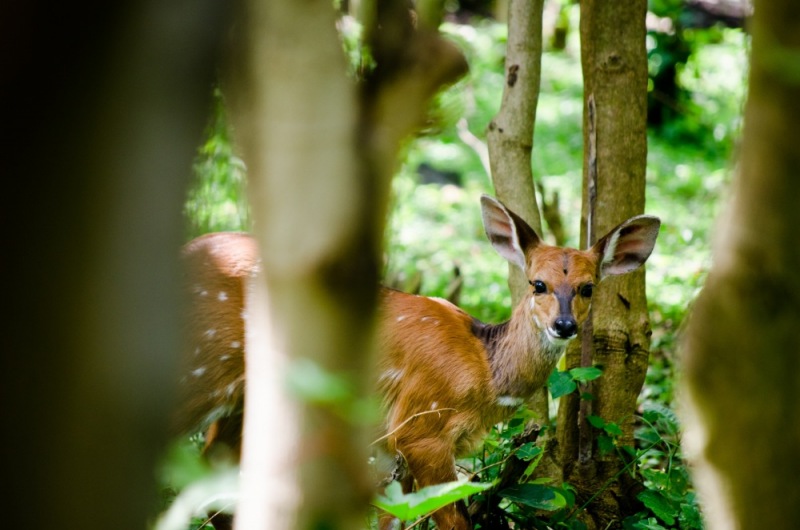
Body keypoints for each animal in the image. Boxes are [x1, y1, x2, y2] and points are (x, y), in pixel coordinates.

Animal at [178, 194, 660, 528]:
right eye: (537, 284)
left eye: (587, 287)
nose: (564, 325)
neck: (484, 369)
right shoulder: (422, 428)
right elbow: (453, 519)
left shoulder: (397, 446)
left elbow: (395, 518)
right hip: (201, 371)